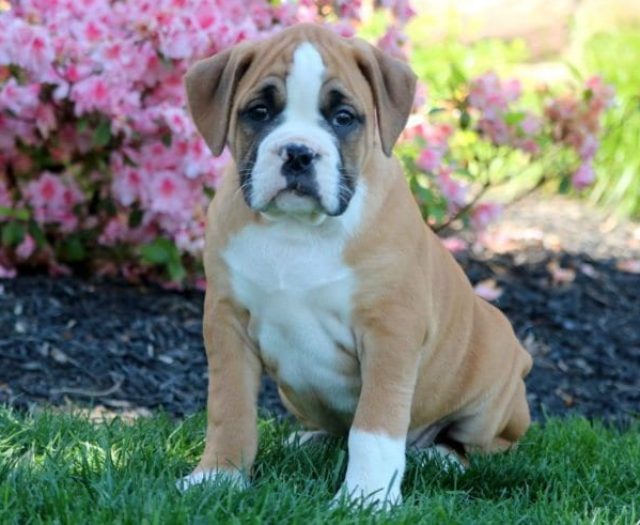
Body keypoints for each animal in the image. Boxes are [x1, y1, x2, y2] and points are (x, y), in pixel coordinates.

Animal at [178, 23, 532, 504]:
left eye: (343, 118)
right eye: (260, 111)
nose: (298, 152)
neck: (297, 230)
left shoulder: (390, 332)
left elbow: (375, 427)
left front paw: (367, 498)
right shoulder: (226, 322)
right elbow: (229, 409)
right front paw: (218, 476)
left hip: (489, 393)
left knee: (479, 445)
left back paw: (438, 457)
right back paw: (309, 439)